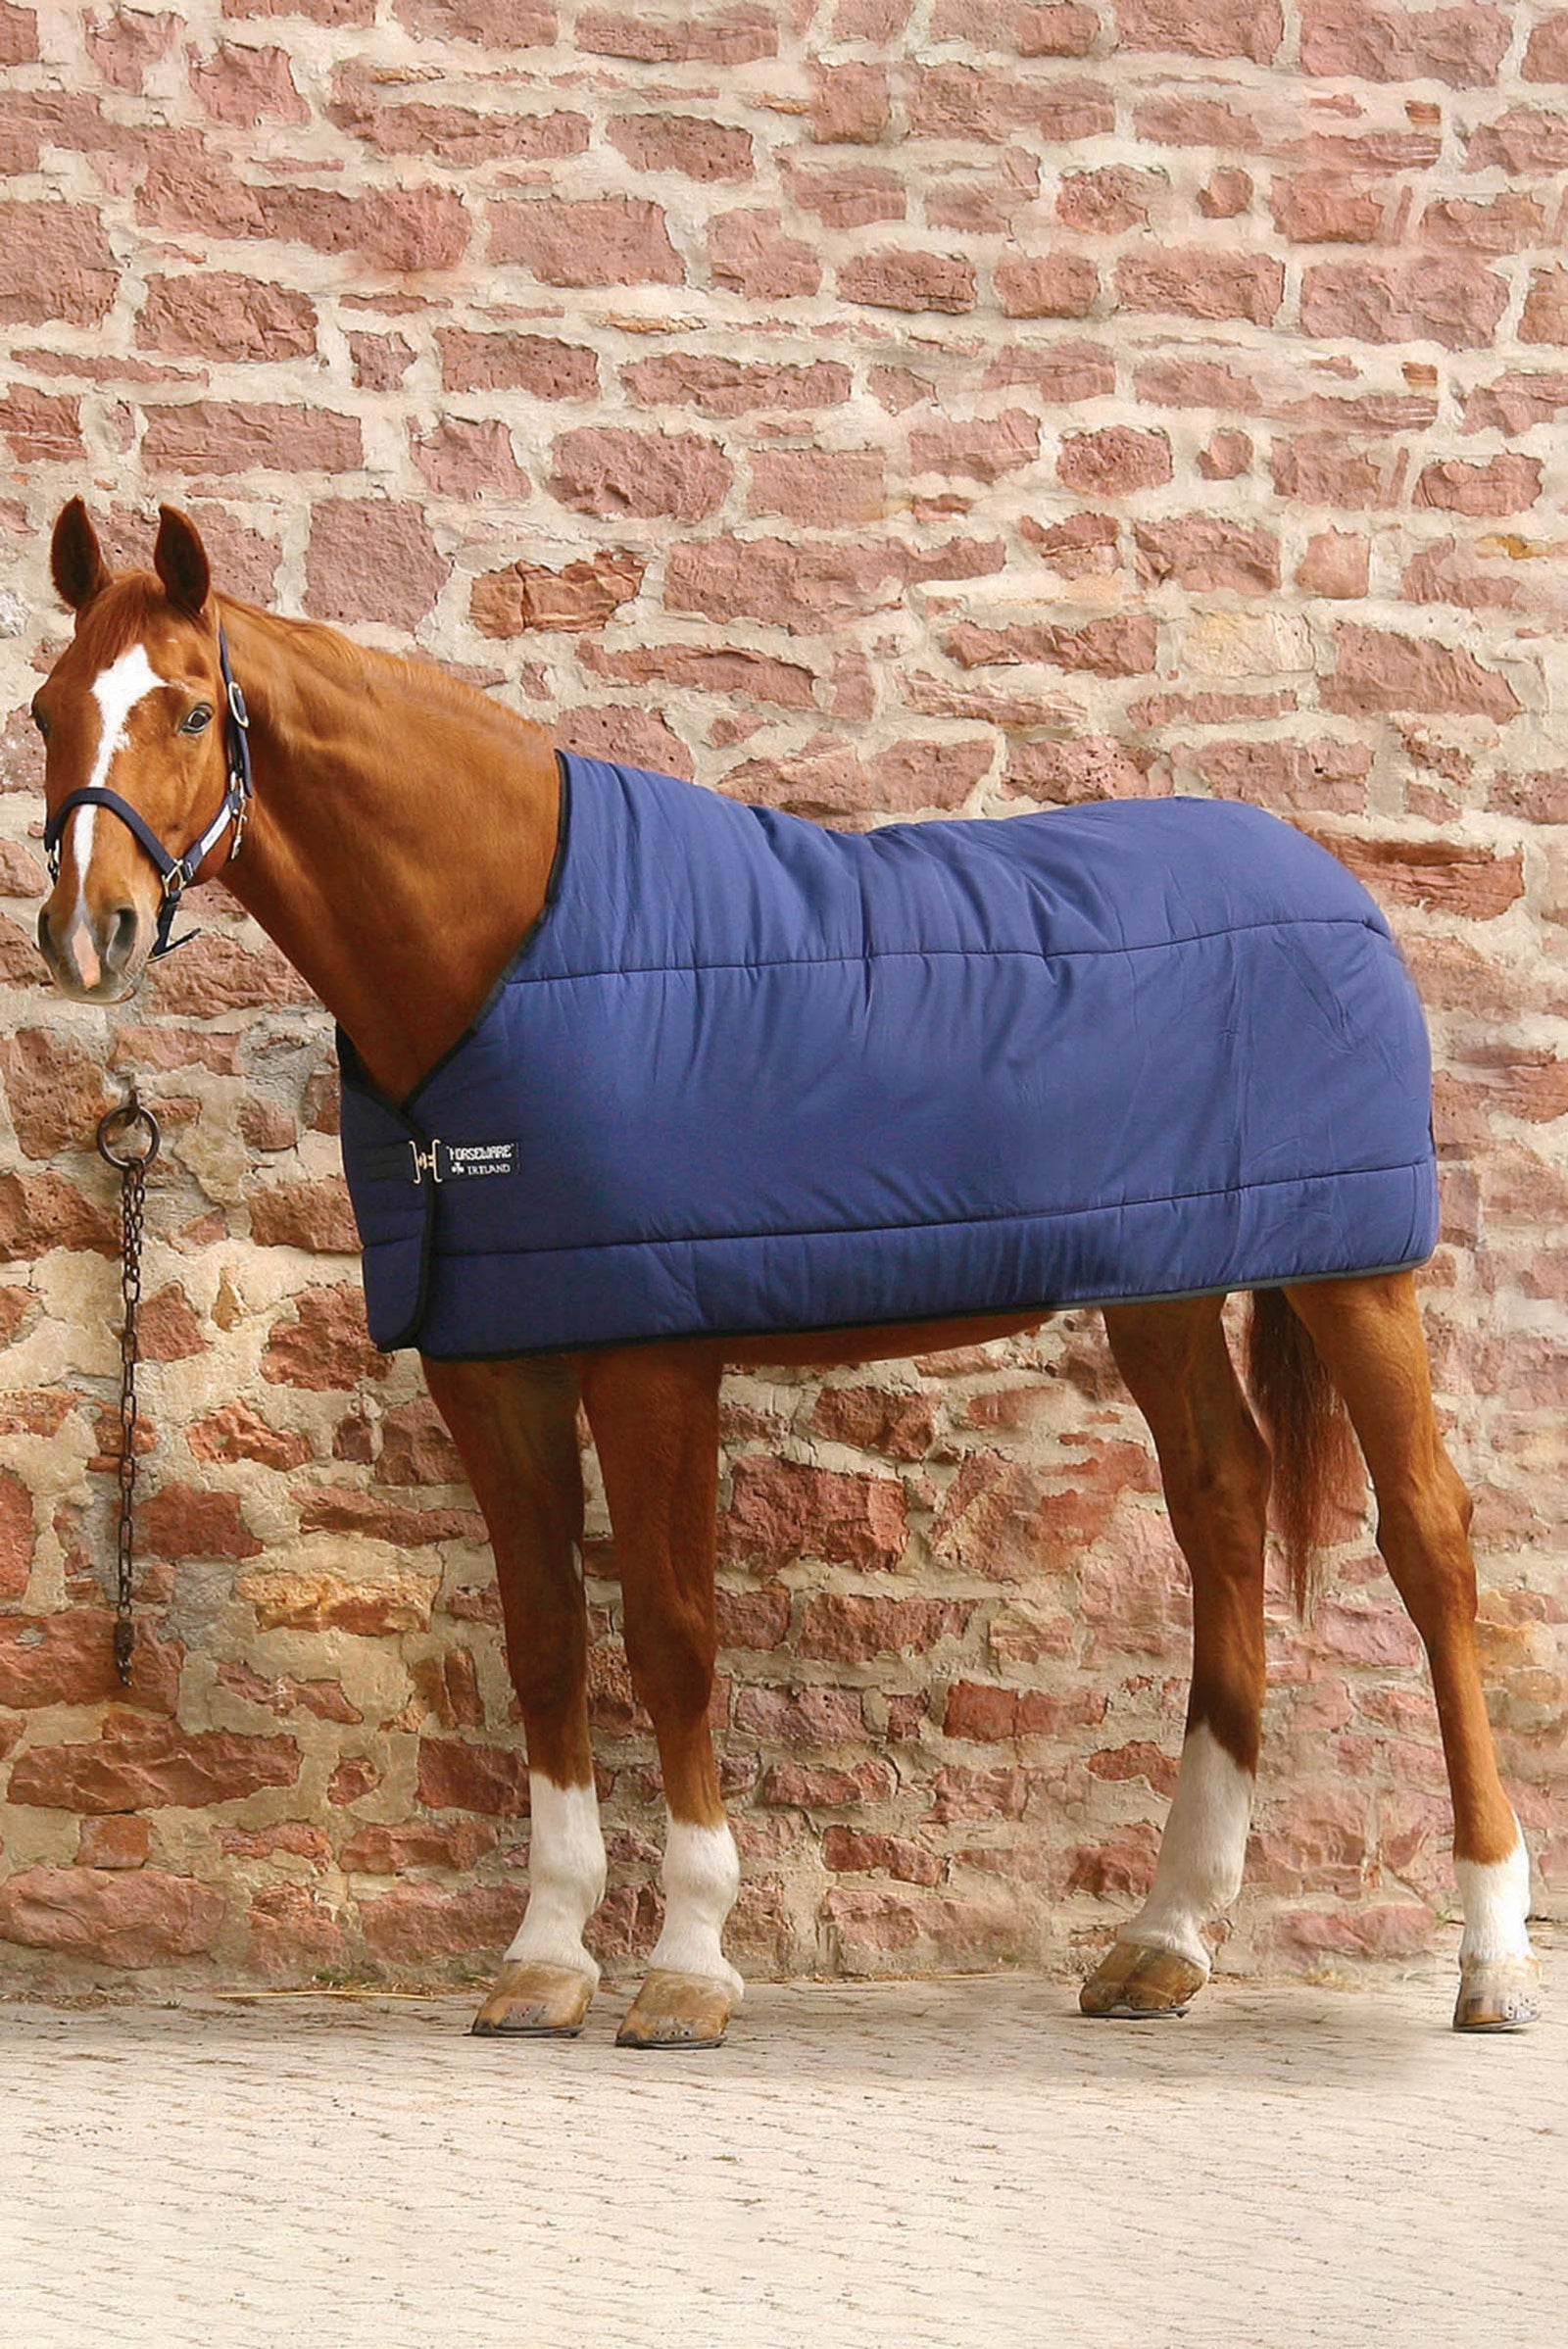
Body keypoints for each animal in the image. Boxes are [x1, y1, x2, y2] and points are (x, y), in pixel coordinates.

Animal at [25, 498, 1540, 2045]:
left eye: (191, 708)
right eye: (45, 709)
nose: (90, 933)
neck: (503, 951)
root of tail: (1326, 880)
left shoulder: (652, 1358)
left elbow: (672, 1638)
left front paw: (689, 1964)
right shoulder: (491, 1361)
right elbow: (547, 1642)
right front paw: (545, 1960)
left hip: (1357, 1277)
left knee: (1432, 1546)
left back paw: (1489, 1957)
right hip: (1167, 1288)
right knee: (1223, 1508)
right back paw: (1165, 1937)